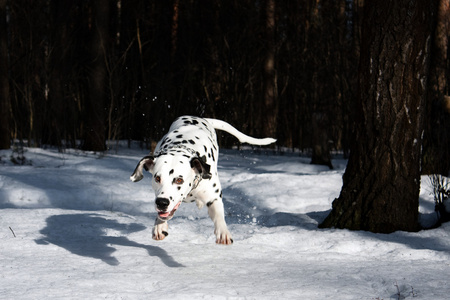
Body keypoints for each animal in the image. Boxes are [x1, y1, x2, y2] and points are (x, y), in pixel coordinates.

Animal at [130, 116, 276, 245]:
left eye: (179, 180)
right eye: (157, 178)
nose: (162, 203)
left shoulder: (214, 198)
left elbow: (218, 215)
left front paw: (223, 232)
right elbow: (161, 216)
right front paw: (159, 225)